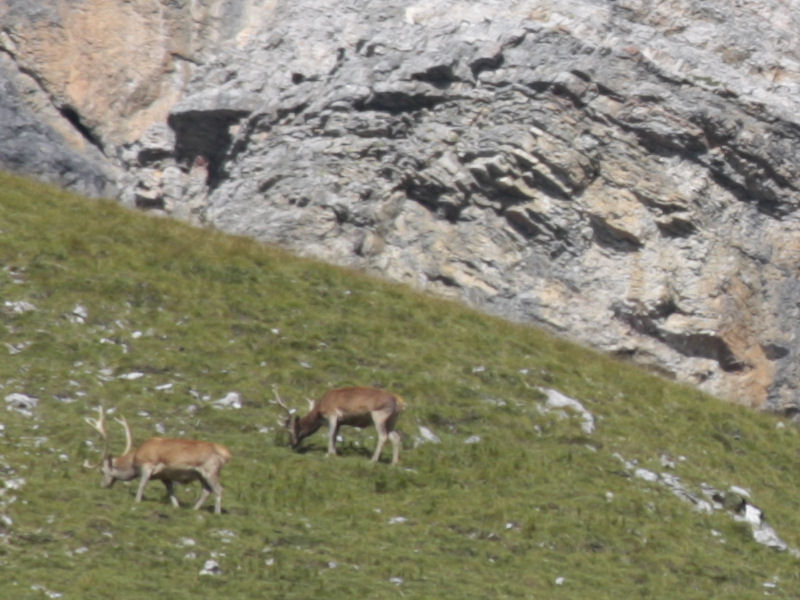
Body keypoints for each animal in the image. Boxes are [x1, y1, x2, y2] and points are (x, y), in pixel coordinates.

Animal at [83, 406, 231, 512]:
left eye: (102, 471)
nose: (102, 485)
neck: (134, 461)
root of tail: (226, 454)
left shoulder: (148, 465)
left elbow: (142, 484)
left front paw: (137, 501)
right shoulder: (165, 476)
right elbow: (171, 491)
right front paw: (176, 506)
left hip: (210, 470)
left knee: (219, 489)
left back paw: (217, 513)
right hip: (200, 474)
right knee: (206, 491)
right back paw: (194, 509)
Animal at [274, 384, 406, 464]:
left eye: (290, 430)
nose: (292, 445)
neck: (320, 410)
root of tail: (398, 400)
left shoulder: (332, 415)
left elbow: (330, 435)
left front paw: (329, 454)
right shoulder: (340, 422)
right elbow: (335, 436)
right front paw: (335, 453)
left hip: (379, 417)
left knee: (383, 436)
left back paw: (372, 460)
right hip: (391, 421)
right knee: (396, 436)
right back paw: (394, 463)